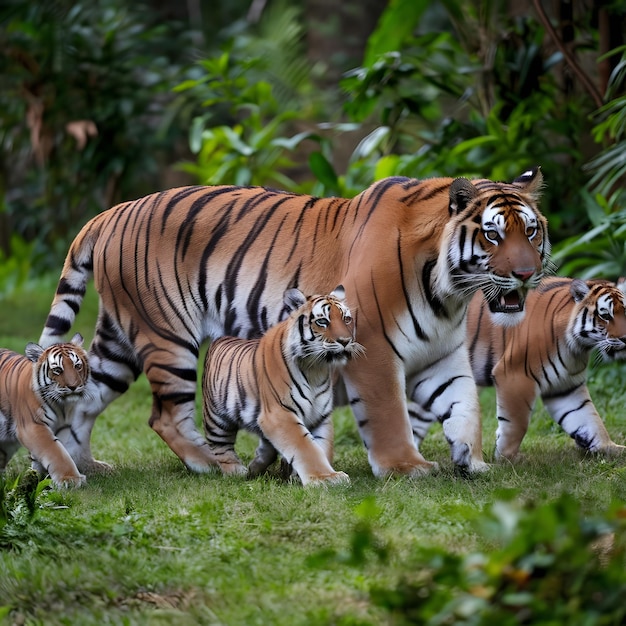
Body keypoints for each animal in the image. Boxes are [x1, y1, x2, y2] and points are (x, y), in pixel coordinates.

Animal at [0, 332, 90, 488]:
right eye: (58, 370)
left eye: (77, 366)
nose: (73, 386)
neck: (63, 406)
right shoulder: (32, 426)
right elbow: (56, 451)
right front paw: (70, 479)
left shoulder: (64, 427)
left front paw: (38, 478)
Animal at [202, 282, 364, 482]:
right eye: (322, 322)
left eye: (346, 319)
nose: (345, 341)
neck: (316, 369)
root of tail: (221, 338)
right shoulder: (280, 413)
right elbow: (306, 447)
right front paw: (324, 478)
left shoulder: (320, 417)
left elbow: (321, 447)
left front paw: (323, 475)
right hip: (216, 417)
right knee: (220, 445)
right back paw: (236, 471)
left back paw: (255, 467)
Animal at [410, 278, 624, 458]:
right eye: (605, 315)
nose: (625, 338)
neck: (577, 347)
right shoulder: (515, 375)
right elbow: (516, 423)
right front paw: (505, 458)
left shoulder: (566, 387)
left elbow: (589, 419)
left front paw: (611, 448)